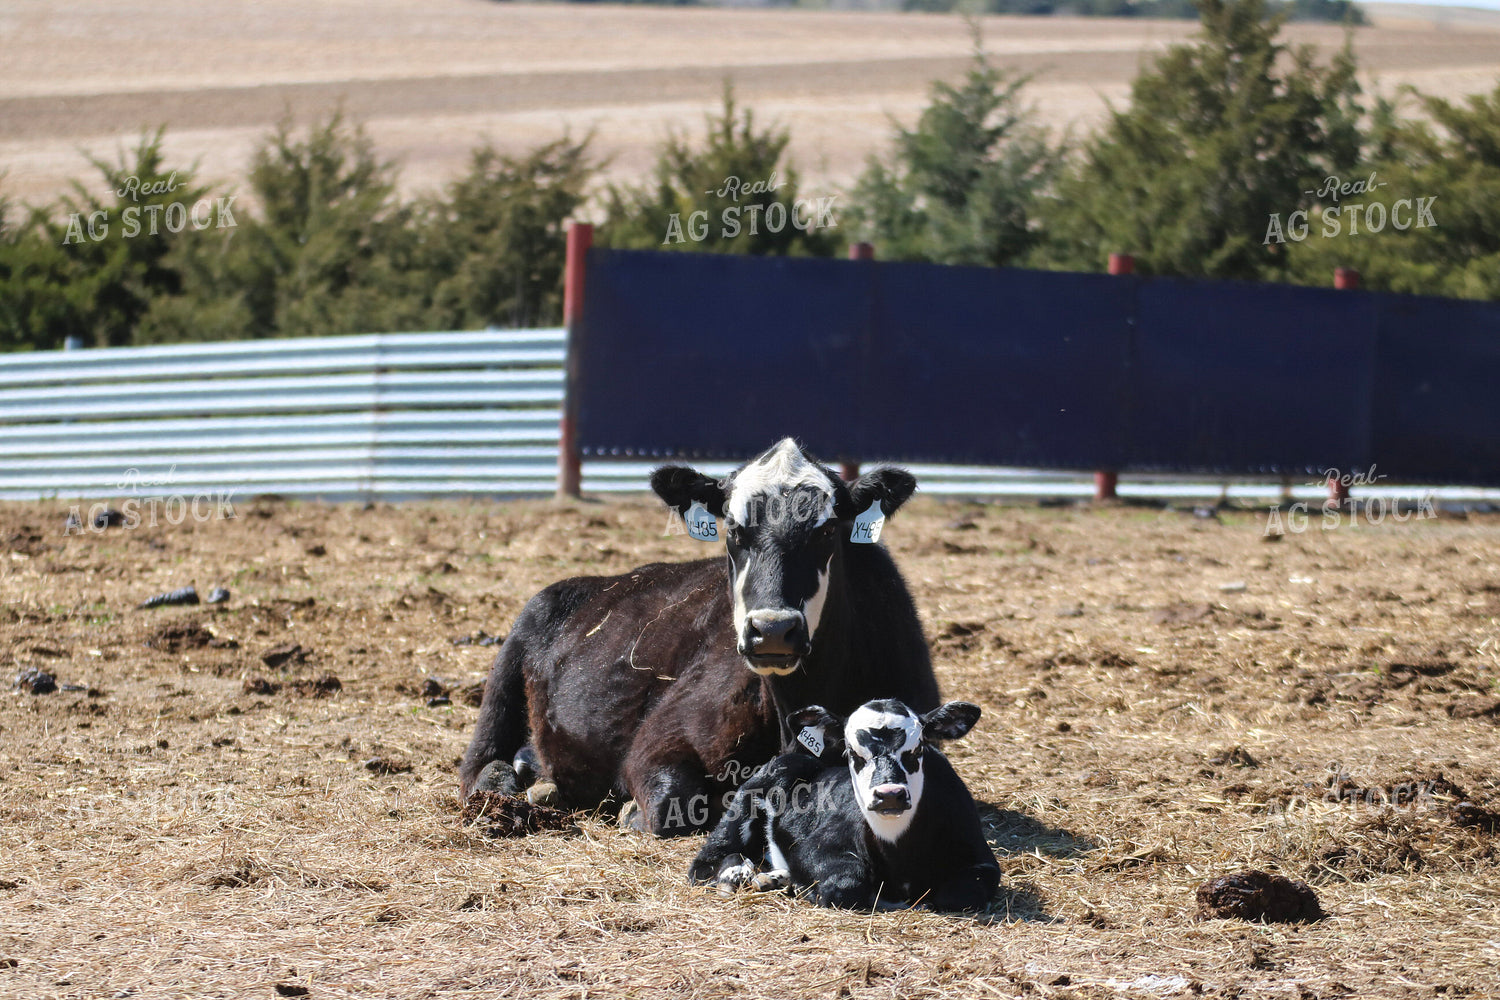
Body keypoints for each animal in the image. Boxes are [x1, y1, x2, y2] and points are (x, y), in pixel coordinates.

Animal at [457, 438, 940, 836]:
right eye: (733, 529)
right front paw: (631, 811)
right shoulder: (660, 739)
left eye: (825, 530)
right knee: (477, 766)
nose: (772, 630)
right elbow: (674, 799)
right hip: (506, 674)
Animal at [690, 699, 1000, 912]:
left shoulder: (980, 855)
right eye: (852, 752)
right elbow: (845, 887)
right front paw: (806, 888)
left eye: (918, 747)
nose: (889, 794)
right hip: (747, 800)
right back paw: (736, 874)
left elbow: (959, 895)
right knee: (707, 861)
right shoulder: (814, 848)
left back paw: (773, 878)